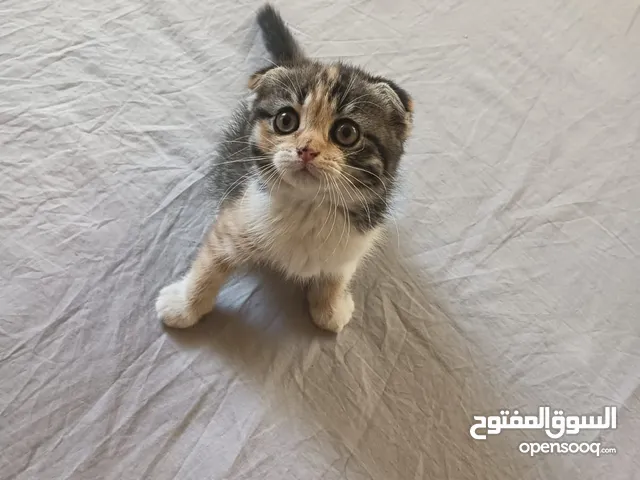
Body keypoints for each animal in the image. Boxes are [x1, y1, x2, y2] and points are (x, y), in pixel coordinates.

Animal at [158, 4, 412, 334]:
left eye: (347, 132)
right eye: (285, 120)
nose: (306, 150)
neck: (308, 206)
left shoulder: (356, 239)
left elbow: (336, 274)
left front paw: (330, 306)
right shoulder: (238, 212)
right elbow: (210, 264)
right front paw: (184, 306)